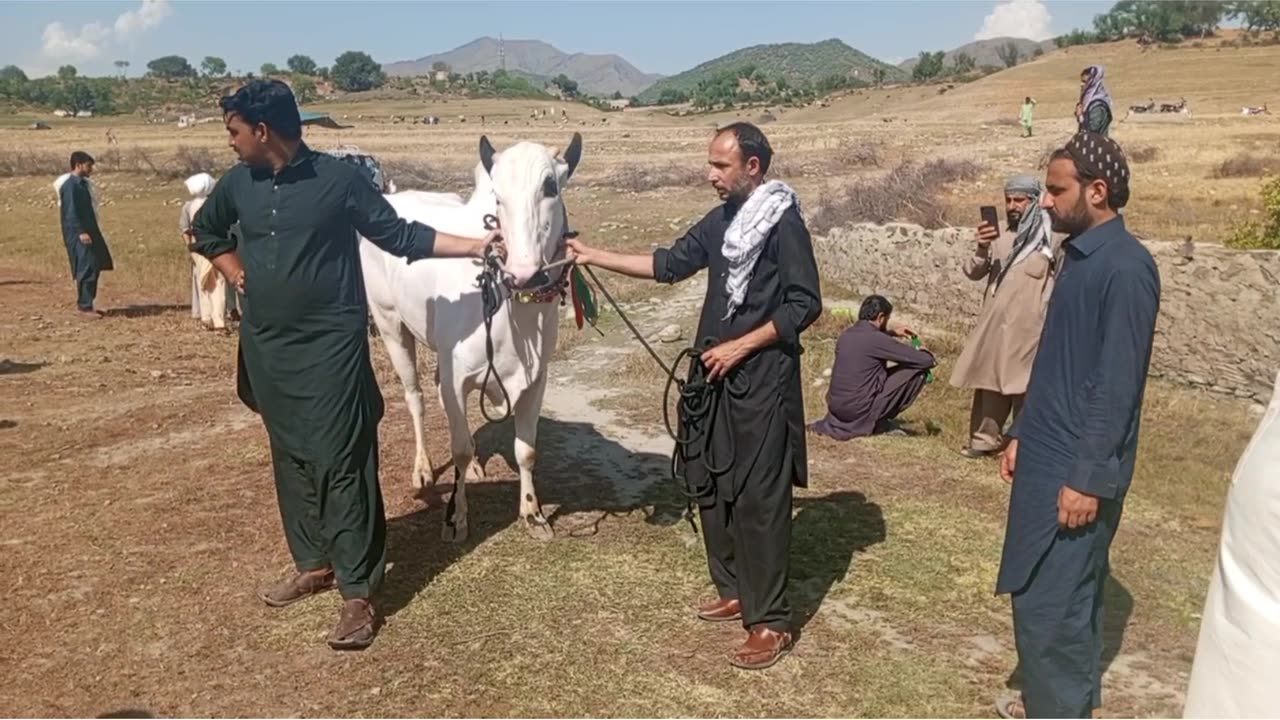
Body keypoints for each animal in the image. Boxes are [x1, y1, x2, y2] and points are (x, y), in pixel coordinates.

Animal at [358, 133, 583, 538]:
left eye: (550, 187)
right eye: (498, 197)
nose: (523, 273)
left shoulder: (536, 379)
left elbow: (526, 450)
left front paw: (533, 513)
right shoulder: (457, 378)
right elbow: (459, 447)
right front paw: (456, 517)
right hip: (390, 326)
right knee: (415, 397)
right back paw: (423, 468)